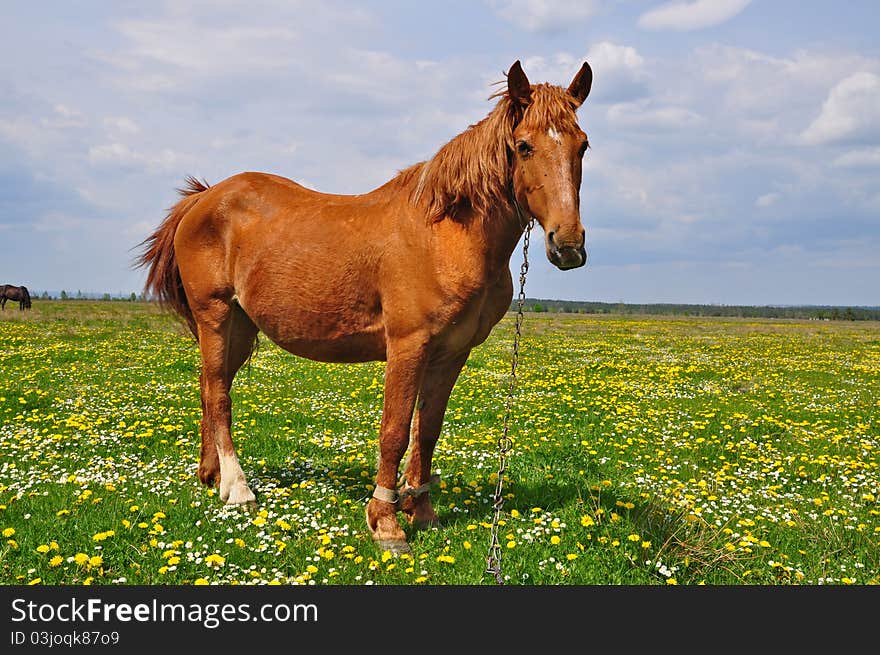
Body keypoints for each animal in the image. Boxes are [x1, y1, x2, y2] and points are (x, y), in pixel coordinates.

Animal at [138, 60, 592, 552]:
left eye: (583, 146)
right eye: (524, 146)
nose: (568, 244)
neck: (445, 233)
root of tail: (204, 198)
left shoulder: (451, 353)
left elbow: (427, 431)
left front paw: (422, 512)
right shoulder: (408, 346)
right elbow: (394, 430)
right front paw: (386, 521)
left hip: (239, 328)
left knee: (209, 386)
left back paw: (210, 476)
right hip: (216, 315)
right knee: (219, 395)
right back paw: (237, 487)